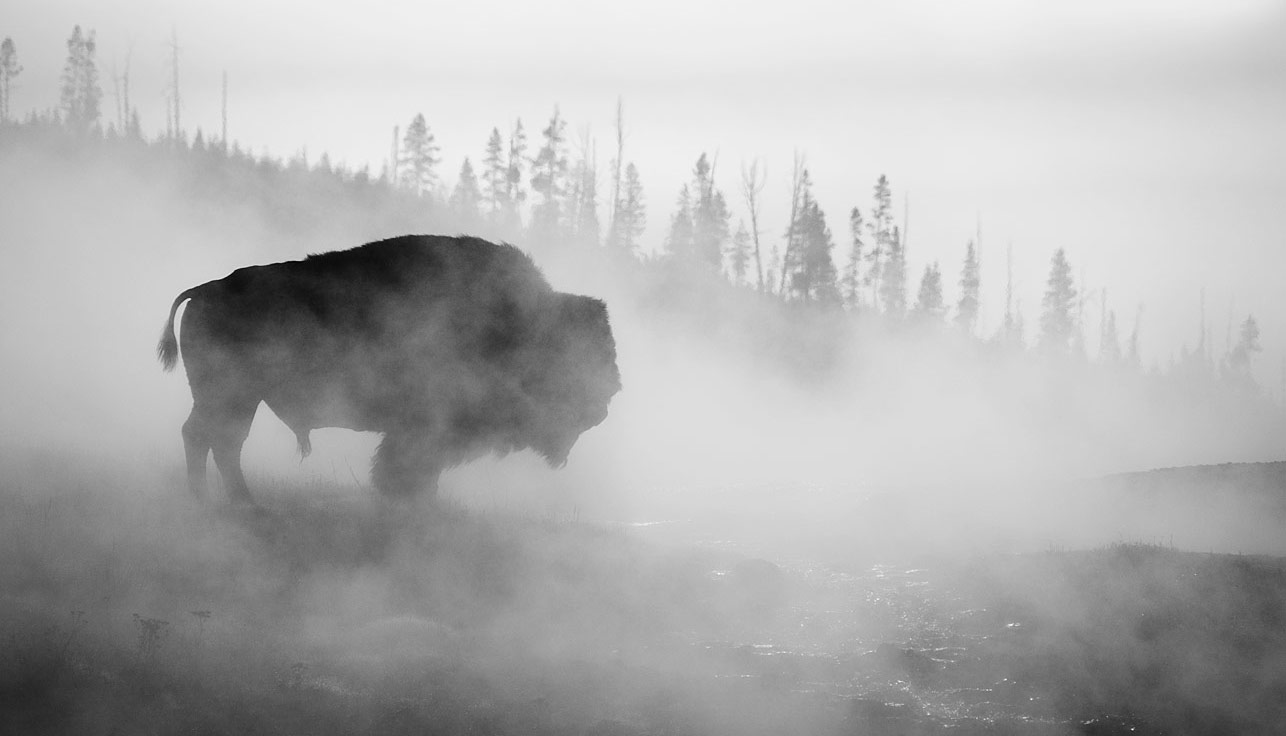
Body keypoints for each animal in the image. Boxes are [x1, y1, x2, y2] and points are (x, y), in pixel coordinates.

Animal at [158, 235, 619, 506]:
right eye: (581, 352)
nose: (609, 395)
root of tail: (207, 289)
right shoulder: (423, 429)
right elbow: (405, 468)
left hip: (232, 399)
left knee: (209, 439)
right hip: (232, 396)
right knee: (215, 440)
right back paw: (231, 502)